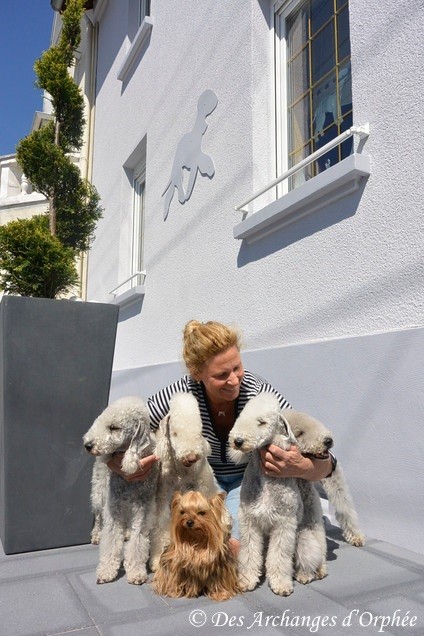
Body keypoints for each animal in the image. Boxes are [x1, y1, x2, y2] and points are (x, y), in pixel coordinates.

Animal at [82, 398, 158, 588]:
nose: (88, 445)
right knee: (98, 517)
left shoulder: (142, 511)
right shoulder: (113, 507)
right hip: (99, 492)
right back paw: (96, 535)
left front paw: (136, 572)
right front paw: (106, 571)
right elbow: (110, 539)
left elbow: (138, 542)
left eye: (114, 427)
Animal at [150, 392, 222, 572]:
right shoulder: (164, 499)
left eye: (199, 432)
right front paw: (156, 560)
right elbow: (161, 527)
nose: (191, 457)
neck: (181, 473)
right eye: (175, 433)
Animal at [230, 392, 326, 596]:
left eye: (262, 421)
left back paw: (308, 574)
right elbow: (249, 554)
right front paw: (246, 580)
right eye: (240, 417)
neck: (266, 480)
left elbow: (280, 557)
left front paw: (281, 585)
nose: (238, 441)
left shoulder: (283, 523)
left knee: (310, 557)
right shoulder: (249, 521)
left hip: (305, 536)